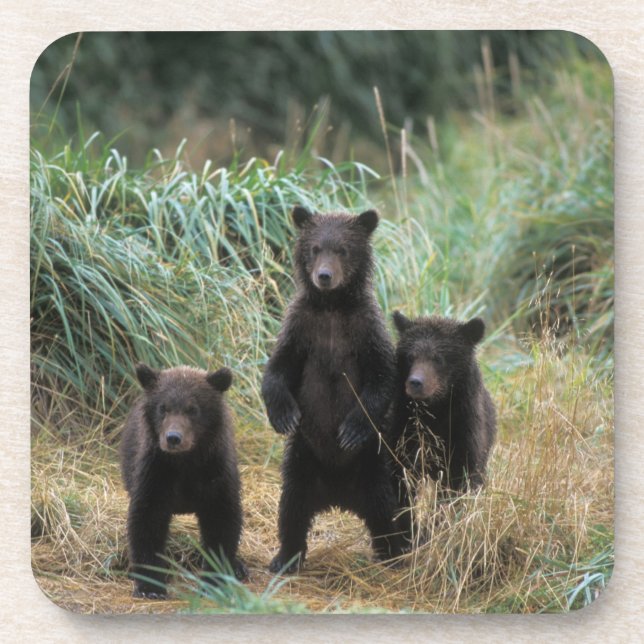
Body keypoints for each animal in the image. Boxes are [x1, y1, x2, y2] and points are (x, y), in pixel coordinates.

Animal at [120, 363, 247, 598]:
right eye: (163, 408)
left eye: (193, 409)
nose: (173, 438)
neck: (185, 462)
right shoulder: (156, 472)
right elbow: (147, 520)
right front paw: (150, 586)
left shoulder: (215, 473)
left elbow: (221, 521)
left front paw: (214, 580)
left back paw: (239, 567)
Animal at [261, 206, 405, 573]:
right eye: (315, 249)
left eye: (342, 249)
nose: (324, 275)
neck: (332, 306)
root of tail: (338, 496)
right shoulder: (301, 328)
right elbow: (278, 369)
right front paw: (283, 415)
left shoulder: (365, 330)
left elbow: (382, 378)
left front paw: (351, 430)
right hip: (303, 459)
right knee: (292, 508)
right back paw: (284, 557)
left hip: (373, 464)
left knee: (386, 509)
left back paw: (395, 553)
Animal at [389, 312, 497, 540]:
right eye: (410, 356)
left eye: (438, 358)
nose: (415, 382)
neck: (435, 410)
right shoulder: (404, 432)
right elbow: (401, 480)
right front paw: (410, 530)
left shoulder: (463, 430)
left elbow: (460, 481)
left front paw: (438, 524)